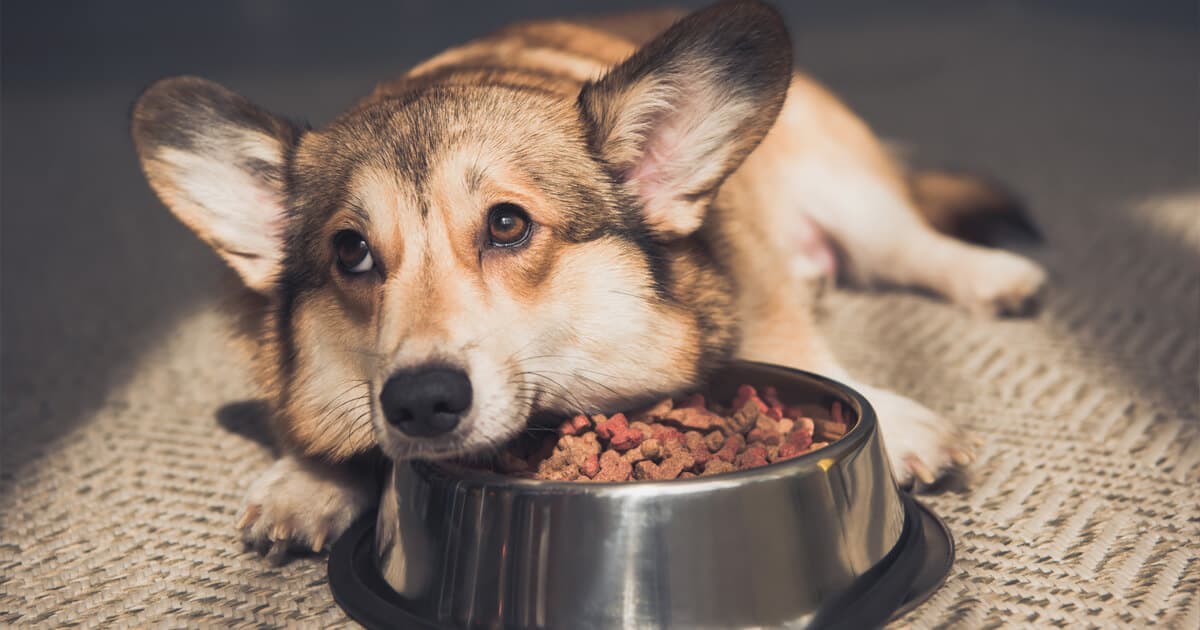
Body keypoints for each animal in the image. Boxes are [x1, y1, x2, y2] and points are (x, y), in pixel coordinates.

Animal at [131, 2, 1046, 556]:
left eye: (507, 225)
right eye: (352, 253)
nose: (421, 402)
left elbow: (802, 348)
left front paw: (900, 423)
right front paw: (309, 482)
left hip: (847, 190)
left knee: (912, 244)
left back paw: (997, 276)